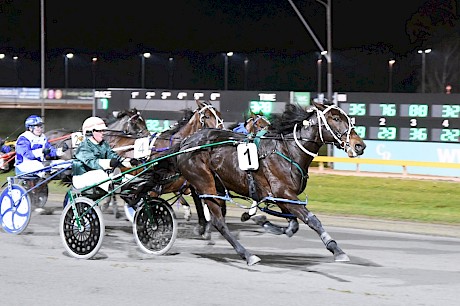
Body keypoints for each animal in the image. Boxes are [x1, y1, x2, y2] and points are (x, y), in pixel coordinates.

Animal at [172, 101, 366, 264]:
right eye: (335, 118)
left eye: (348, 118)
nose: (359, 145)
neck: (288, 151)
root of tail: (186, 142)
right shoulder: (283, 192)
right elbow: (312, 220)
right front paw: (336, 249)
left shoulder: (280, 197)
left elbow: (293, 225)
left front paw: (262, 221)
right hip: (205, 184)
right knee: (219, 222)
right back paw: (248, 255)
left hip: (216, 186)